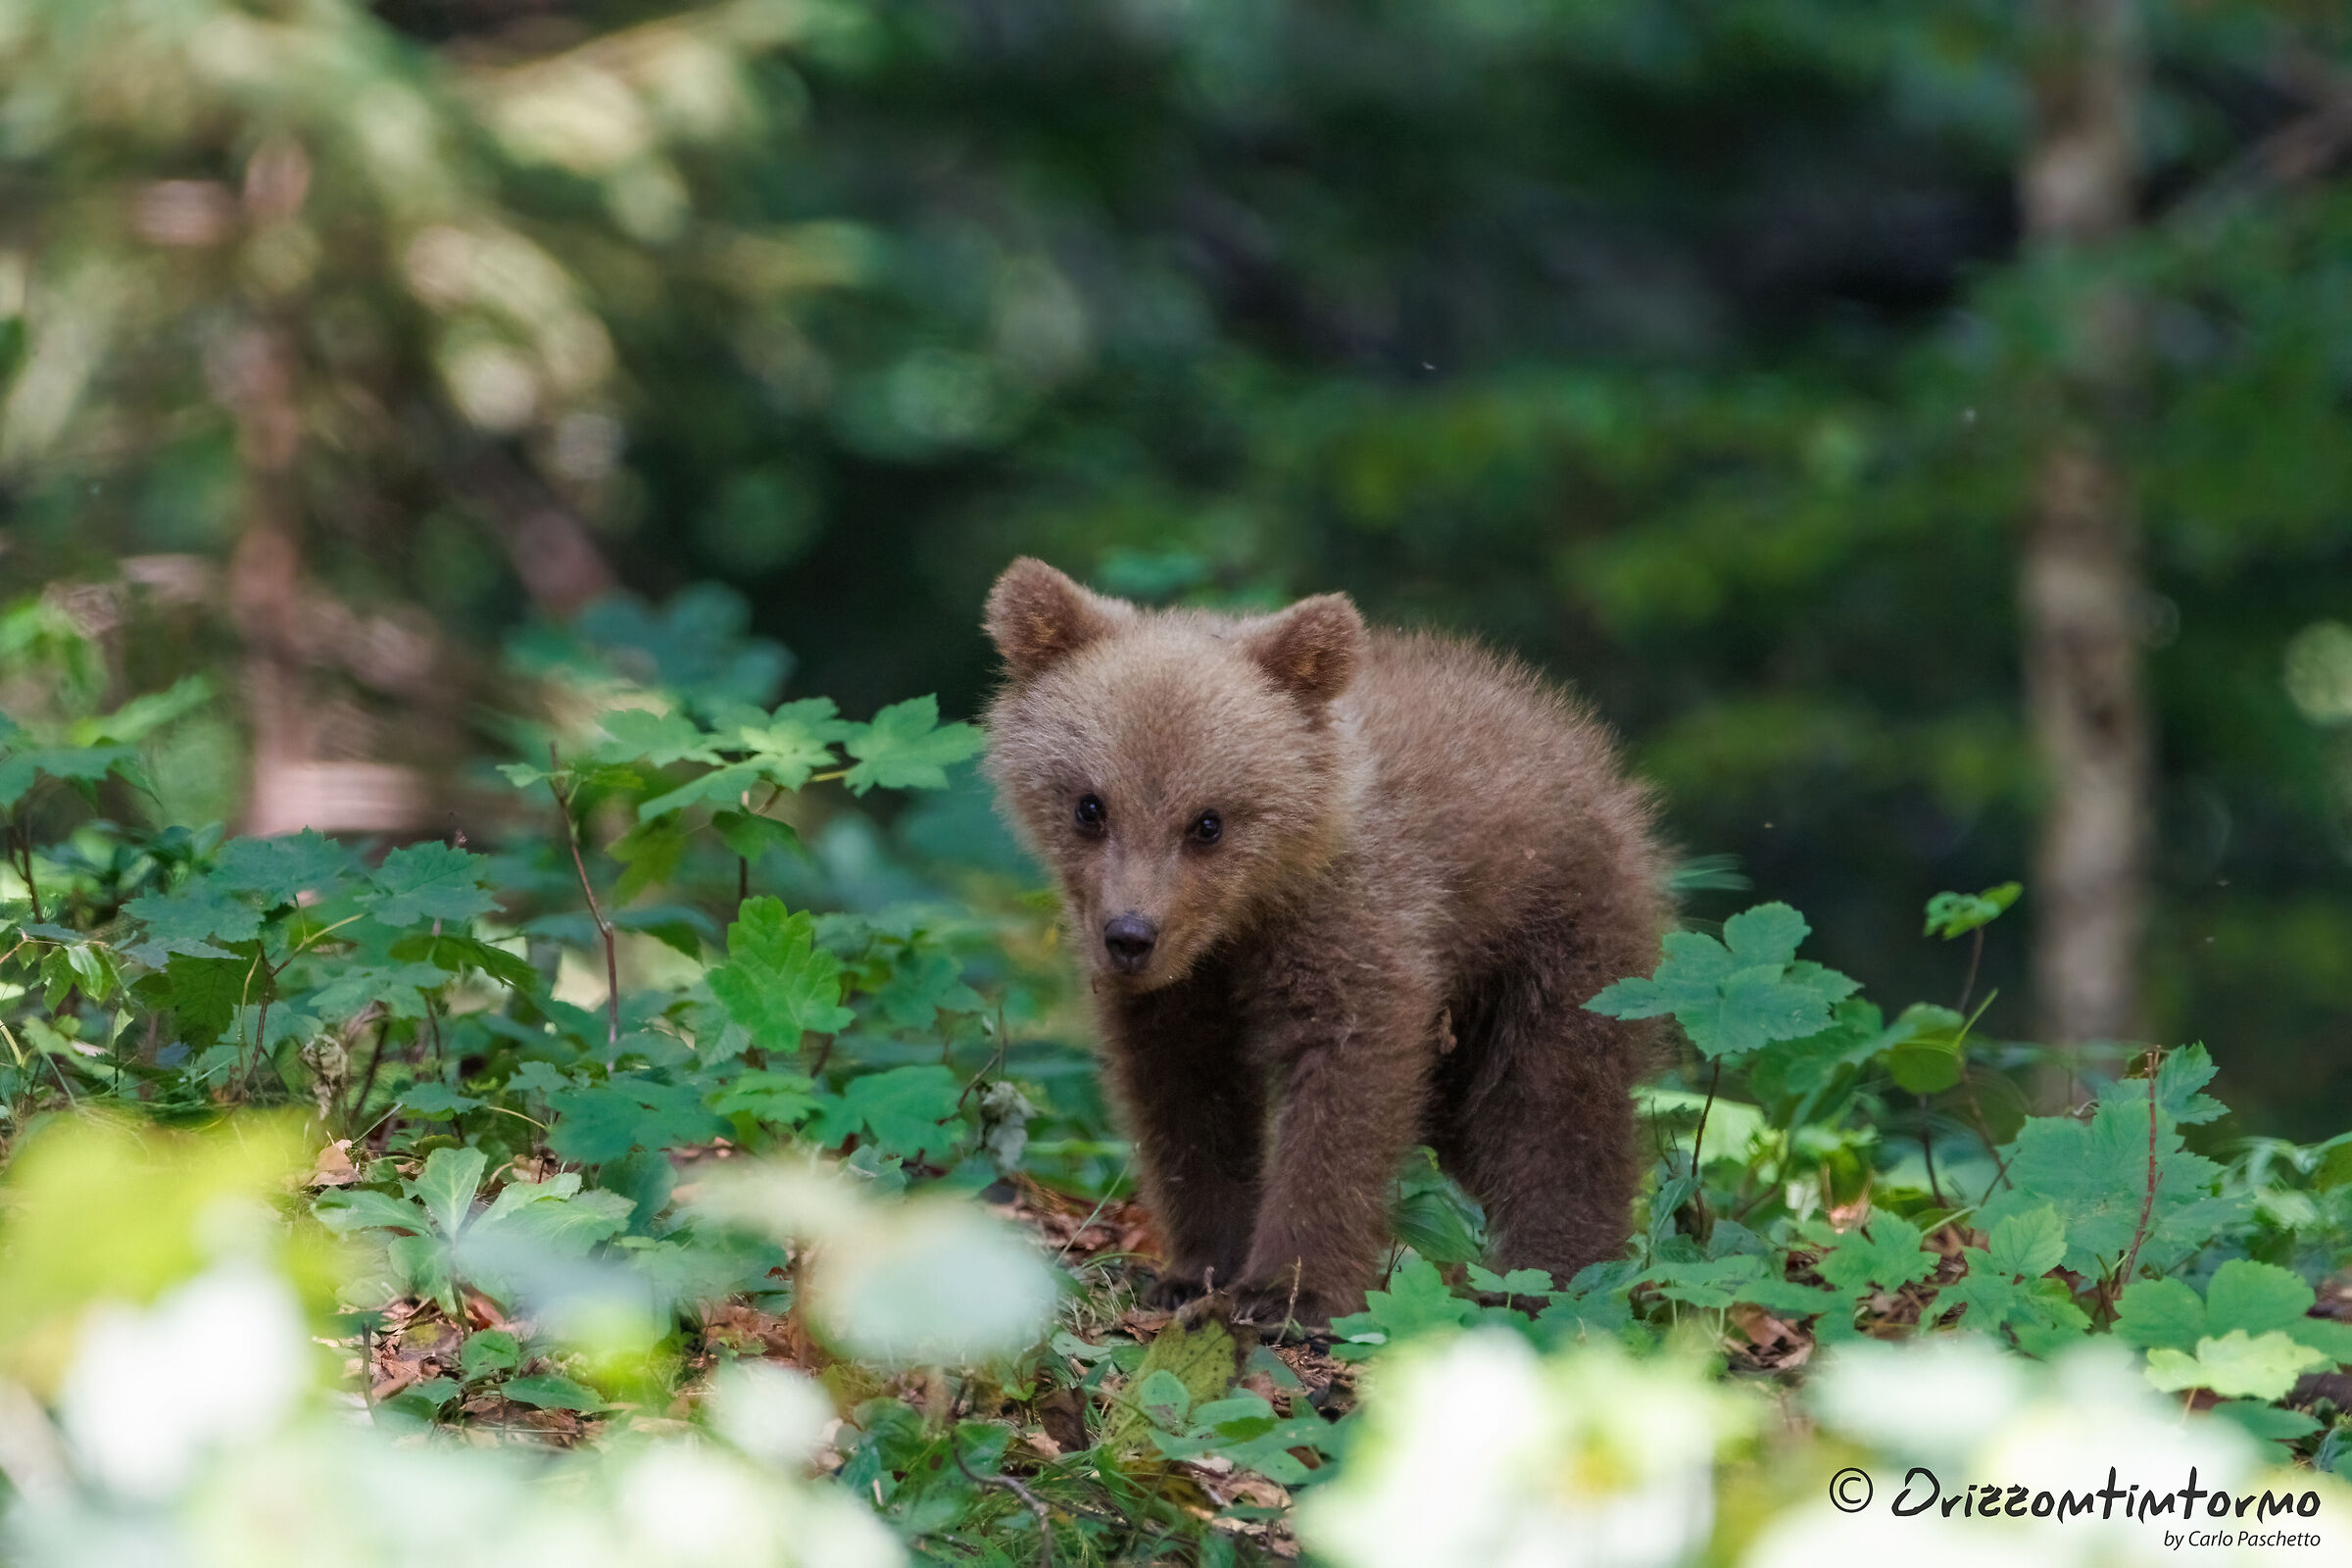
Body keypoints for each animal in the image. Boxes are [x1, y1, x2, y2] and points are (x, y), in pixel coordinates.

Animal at [981, 558, 1668, 1326]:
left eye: (1208, 821)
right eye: (1090, 806)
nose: (1130, 936)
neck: (1243, 920)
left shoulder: (1353, 924)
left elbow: (1344, 1092)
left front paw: (1288, 1291)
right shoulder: (1186, 991)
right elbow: (1187, 1099)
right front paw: (1195, 1271)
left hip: (1554, 938)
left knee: (1553, 1108)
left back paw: (1556, 1278)